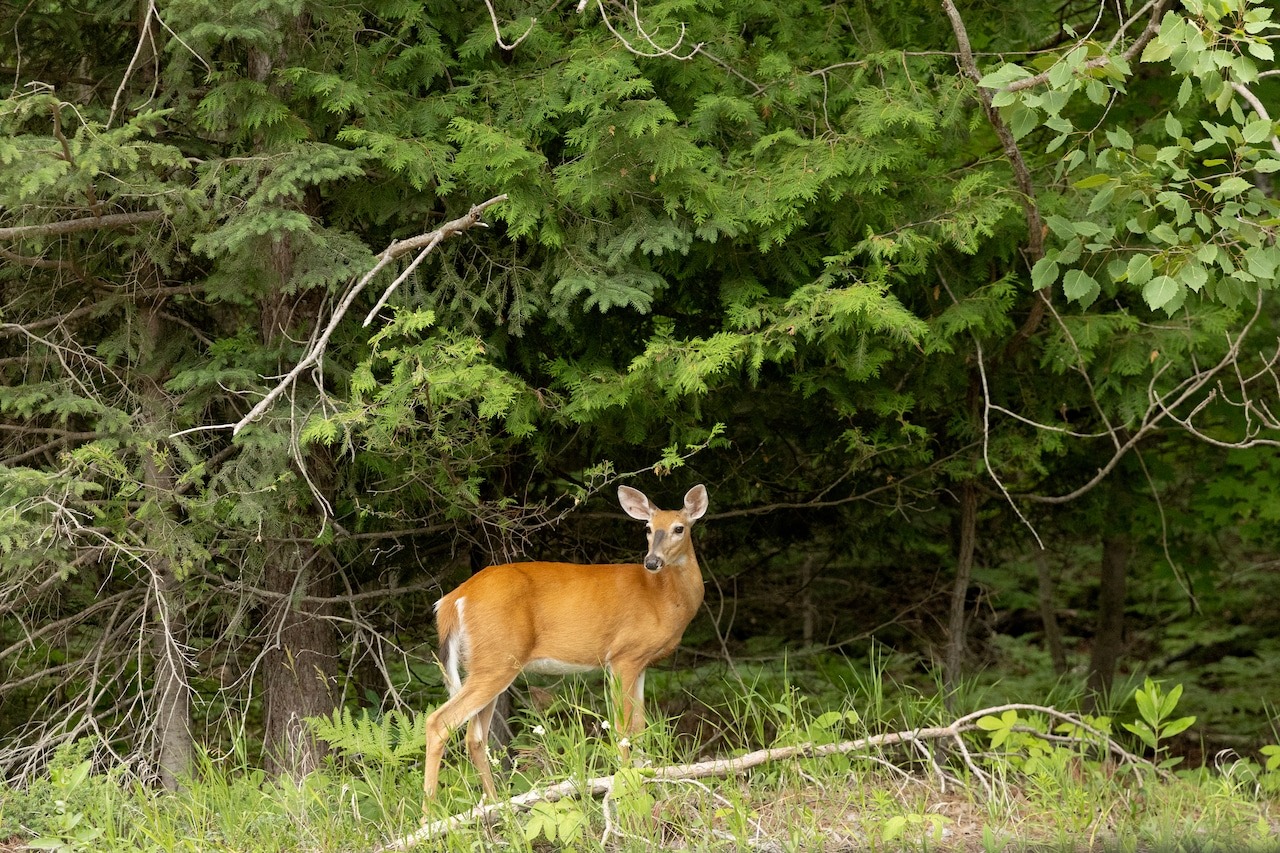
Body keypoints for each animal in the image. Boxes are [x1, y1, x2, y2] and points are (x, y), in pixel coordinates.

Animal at [427, 481, 711, 799]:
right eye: (648, 528)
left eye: (679, 528)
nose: (652, 561)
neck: (663, 598)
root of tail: (453, 599)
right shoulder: (623, 655)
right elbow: (623, 727)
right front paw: (627, 784)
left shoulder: (641, 662)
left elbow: (639, 725)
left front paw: (645, 781)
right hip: (496, 659)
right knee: (439, 723)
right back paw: (430, 809)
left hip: (487, 663)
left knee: (474, 736)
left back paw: (495, 803)